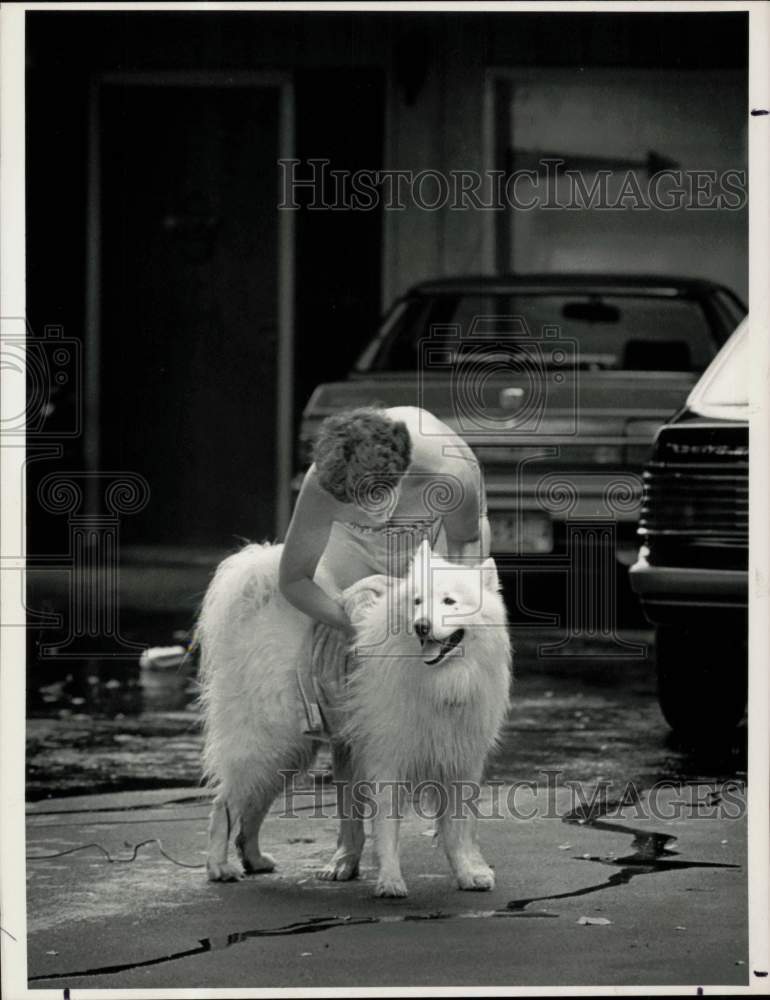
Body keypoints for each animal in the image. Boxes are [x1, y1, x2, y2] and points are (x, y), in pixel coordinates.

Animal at [196, 540, 510, 900]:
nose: (421, 625)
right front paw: (390, 881)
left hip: (287, 752)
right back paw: (219, 867)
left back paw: (254, 859)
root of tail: (256, 609)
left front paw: (468, 874)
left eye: (449, 601)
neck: (442, 679)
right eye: (417, 601)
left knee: (253, 804)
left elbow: (457, 831)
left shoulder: (460, 761)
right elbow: (387, 827)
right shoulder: (387, 758)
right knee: (224, 804)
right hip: (267, 743)